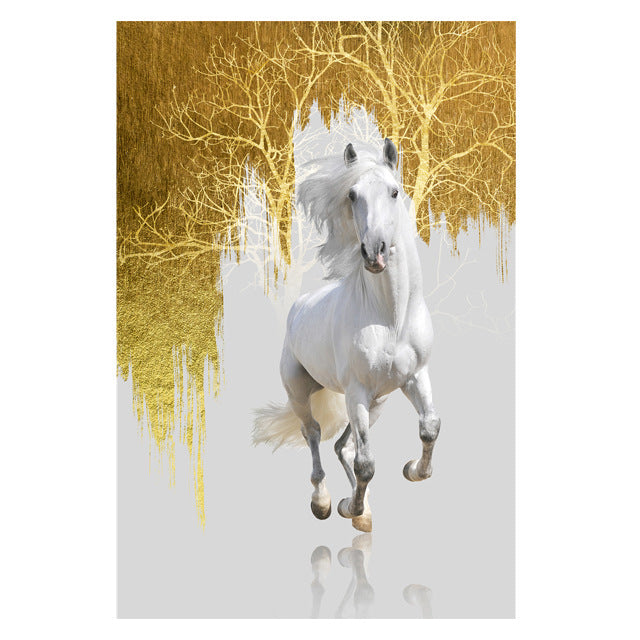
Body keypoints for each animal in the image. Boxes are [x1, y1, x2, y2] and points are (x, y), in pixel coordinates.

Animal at [253, 138, 441, 532]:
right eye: (352, 195)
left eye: (394, 191)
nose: (374, 253)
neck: (391, 318)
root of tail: (299, 306)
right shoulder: (357, 390)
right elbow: (366, 464)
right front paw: (347, 507)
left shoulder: (415, 376)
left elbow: (429, 427)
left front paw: (412, 471)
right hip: (302, 392)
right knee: (314, 435)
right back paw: (324, 503)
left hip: (378, 402)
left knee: (343, 445)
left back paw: (361, 512)